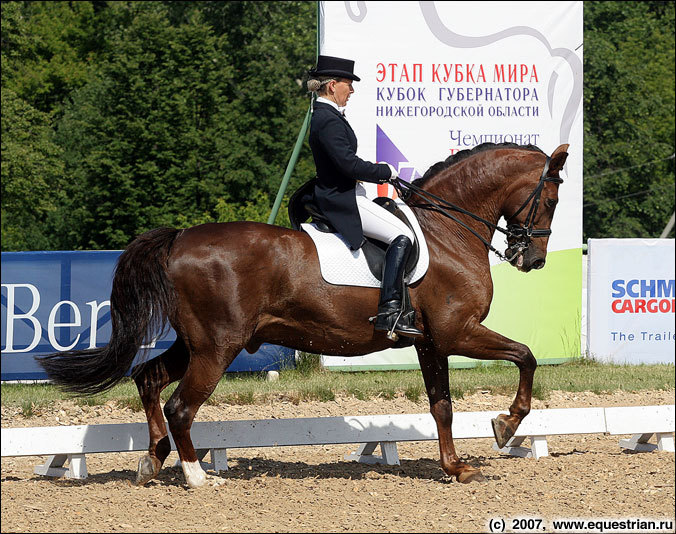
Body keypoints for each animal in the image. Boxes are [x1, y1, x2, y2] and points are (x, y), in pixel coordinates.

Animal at [39, 142, 572, 490]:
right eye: (550, 199)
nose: (532, 259)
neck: (448, 231)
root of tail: (180, 238)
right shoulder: (456, 331)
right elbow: (525, 356)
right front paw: (506, 425)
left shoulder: (429, 340)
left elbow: (442, 405)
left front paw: (457, 467)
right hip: (217, 346)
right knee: (180, 407)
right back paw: (196, 477)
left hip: (196, 343)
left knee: (148, 379)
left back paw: (152, 461)